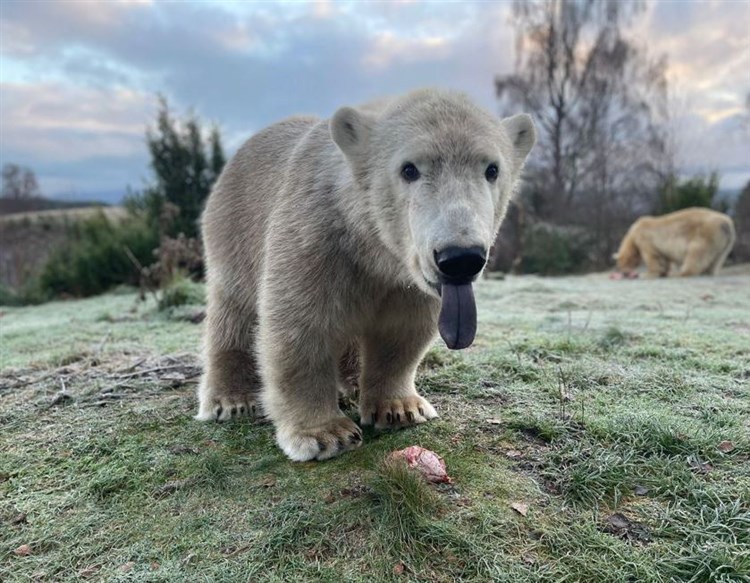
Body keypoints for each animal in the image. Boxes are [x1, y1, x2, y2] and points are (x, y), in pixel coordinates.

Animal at [196, 88, 536, 461]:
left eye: (492, 169)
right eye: (408, 169)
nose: (460, 258)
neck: (373, 247)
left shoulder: (405, 282)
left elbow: (402, 332)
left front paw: (400, 408)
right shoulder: (315, 237)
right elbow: (301, 326)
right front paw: (324, 434)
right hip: (234, 231)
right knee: (233, 312)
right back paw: (231, 400)